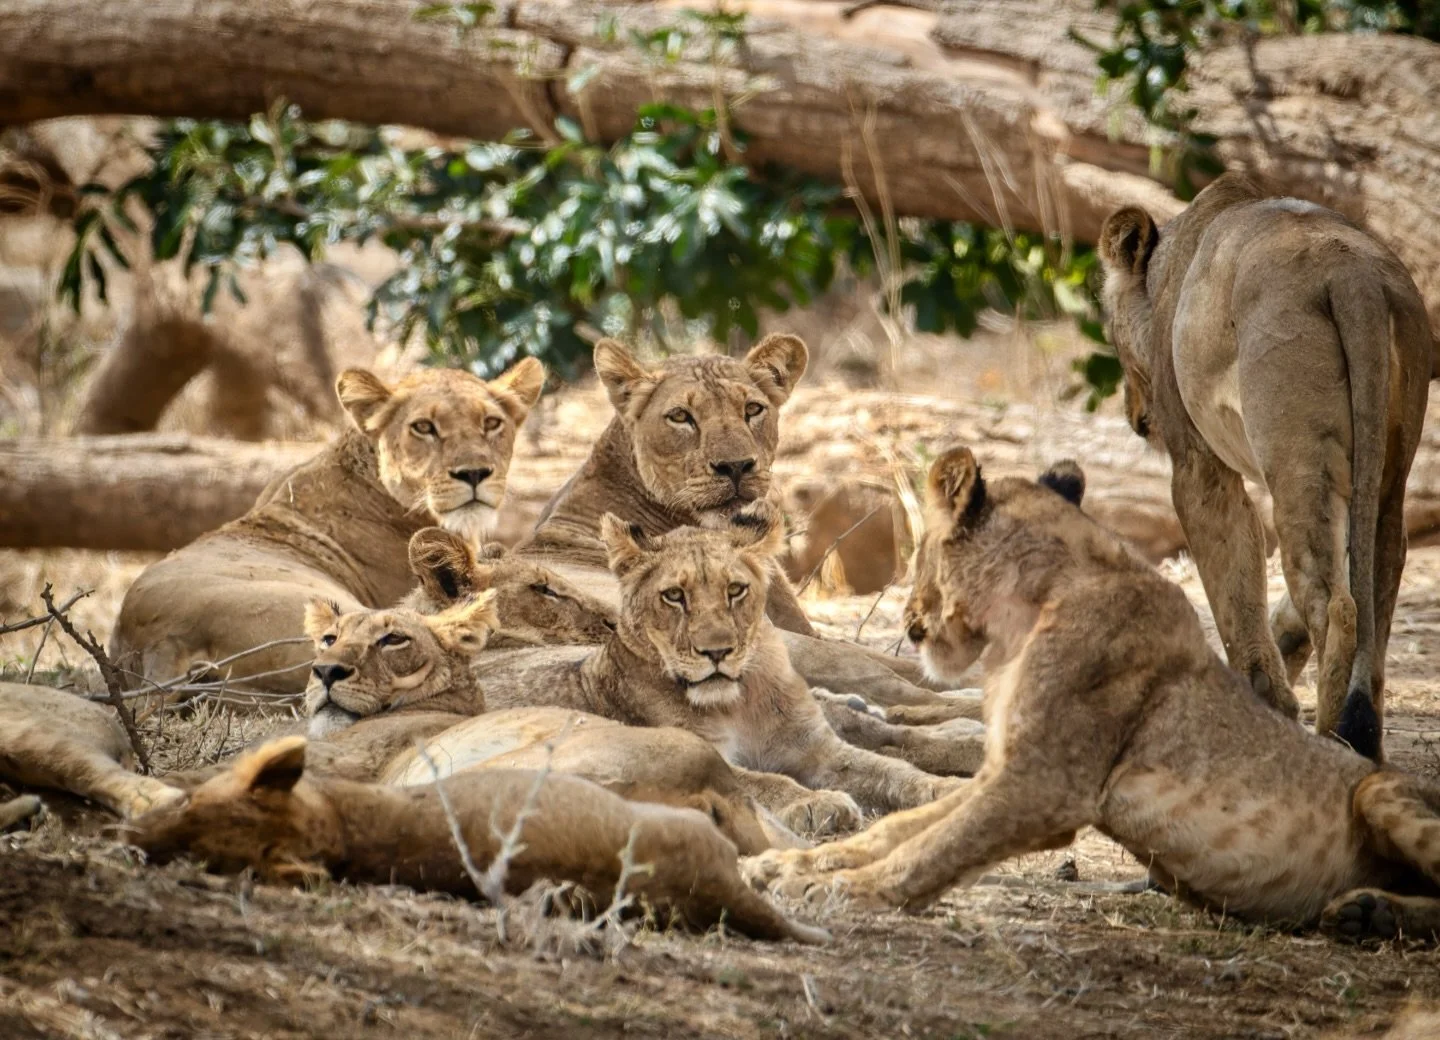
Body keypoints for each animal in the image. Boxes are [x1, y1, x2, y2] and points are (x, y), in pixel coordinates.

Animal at [746, 448, 1440, 943]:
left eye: (918, 555)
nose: (909, 620)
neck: (1030, 611)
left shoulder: (1046, 786)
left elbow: (930, 850)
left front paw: (838, 892)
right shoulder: (1005, 771)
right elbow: (900, 827)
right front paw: (787, 868)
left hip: (1381, 792)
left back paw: (1372, 915)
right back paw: (1367, 913)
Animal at [1097, 173, 1434, 760]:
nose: (1134, 414)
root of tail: (1353, 275)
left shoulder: (1197, 464)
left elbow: (1233, 580)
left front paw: (1258, 702)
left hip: (1295, 459)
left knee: (1334, 606)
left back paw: (1334, 747)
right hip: (1385, 468)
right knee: (1376, 579)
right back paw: (1363, 742)